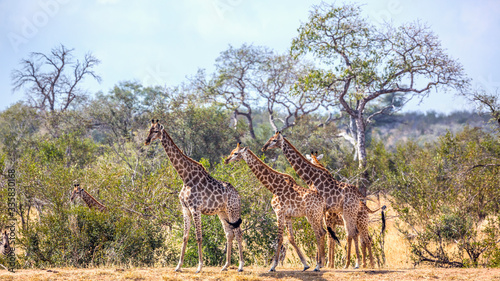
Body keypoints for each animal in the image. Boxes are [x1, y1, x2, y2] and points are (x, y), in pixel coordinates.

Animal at [145, 119, 244, 272]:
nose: (147, 141)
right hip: (222, 212)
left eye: (155, 131)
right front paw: (178, 266)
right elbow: (185, 237)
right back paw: (225, 265)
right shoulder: (185, 209)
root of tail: (238, 195)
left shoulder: (195, 209)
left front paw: (199, 267)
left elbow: (198, 237)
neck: (186, 177)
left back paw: (240, 265)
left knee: (238, 233)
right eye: (149, 130)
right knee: (229, 233)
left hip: (233, 210)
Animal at [262, 132, 368, 268]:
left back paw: (355, 263)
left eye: (274, 140)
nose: (264, 147)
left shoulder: (321, 209)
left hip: (349, 212)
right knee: (354, 233)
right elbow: (324, 234)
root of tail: (359, 194)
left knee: (353, 233)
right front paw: (323, 262)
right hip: (348, 213)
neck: (311, 177)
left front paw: (322, 262)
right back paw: (354, 263)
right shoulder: (322, 210)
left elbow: (322, 233)